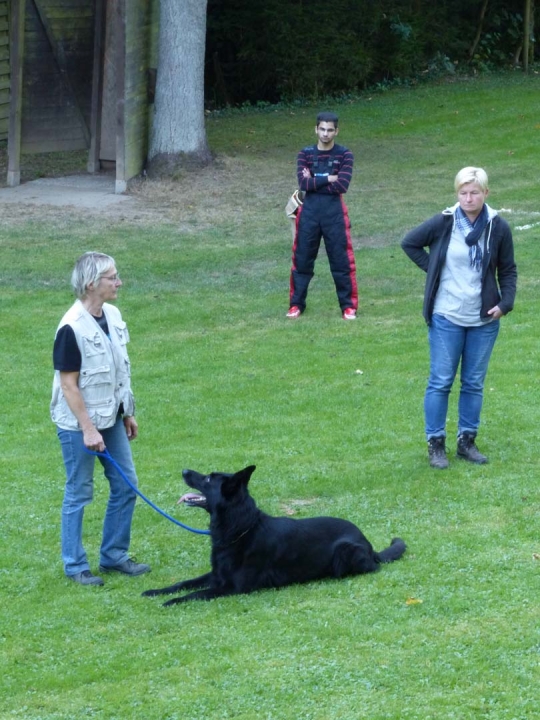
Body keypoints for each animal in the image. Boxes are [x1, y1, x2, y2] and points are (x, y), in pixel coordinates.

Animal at [143, 466, 404, 608]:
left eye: (207, 479)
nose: (184, 471)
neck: (240, 528)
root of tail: (369, 545)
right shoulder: (216, 575)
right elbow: (183, 583)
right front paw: (155, 592)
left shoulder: (232, 588)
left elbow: (196, 594)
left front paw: (172, 602)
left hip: (346, 551)